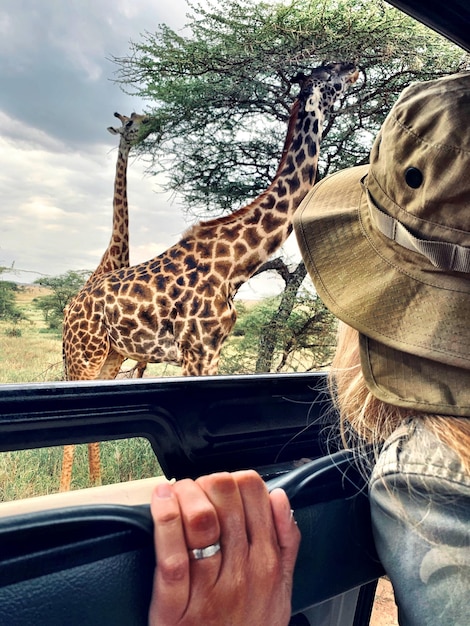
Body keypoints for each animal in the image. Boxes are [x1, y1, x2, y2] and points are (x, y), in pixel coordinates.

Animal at [61, 63, 356, 386]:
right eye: (329, 73)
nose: (353, 68)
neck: (234, 263)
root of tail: (70, 306)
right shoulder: (198, 349)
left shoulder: (212, 350)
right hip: (84, 355)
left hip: (112, 353)